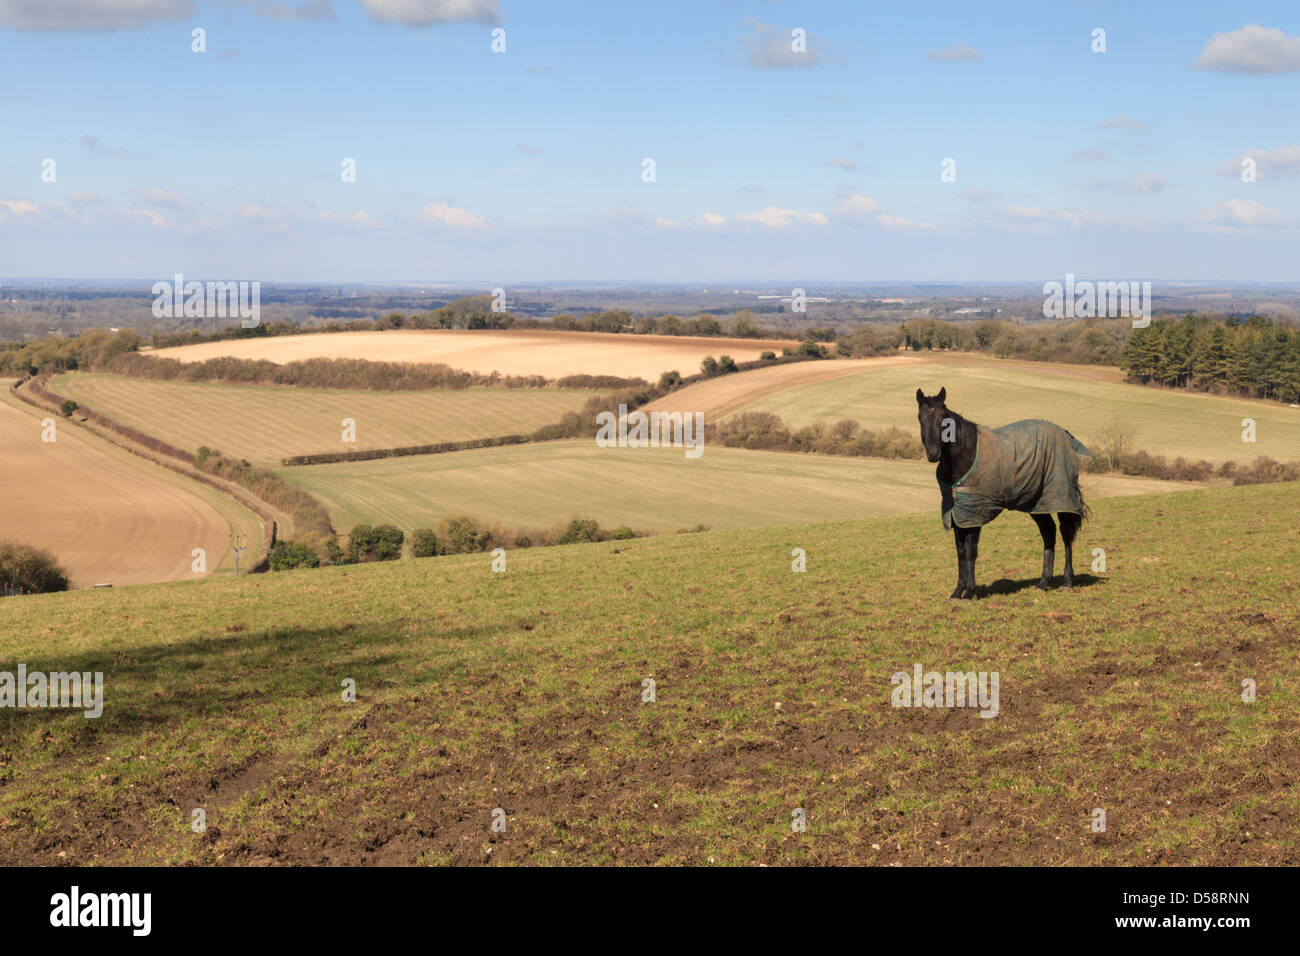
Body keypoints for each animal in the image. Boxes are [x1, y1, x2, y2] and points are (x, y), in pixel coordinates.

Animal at [920, 387, 1092, 598]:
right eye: (921, 418)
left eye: (943, 418)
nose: (933, 454)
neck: (964, 457)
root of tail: (1065, 436)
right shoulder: (959, 515)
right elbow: (960, 551)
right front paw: (957, 591)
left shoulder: (975, 513)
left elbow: (970, 552)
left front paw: (969, 592)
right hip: (1038, 504)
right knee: (1048, 533)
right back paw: (1043, 582)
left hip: (1062, 498)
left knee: (1066, 535)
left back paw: (1067, 582)